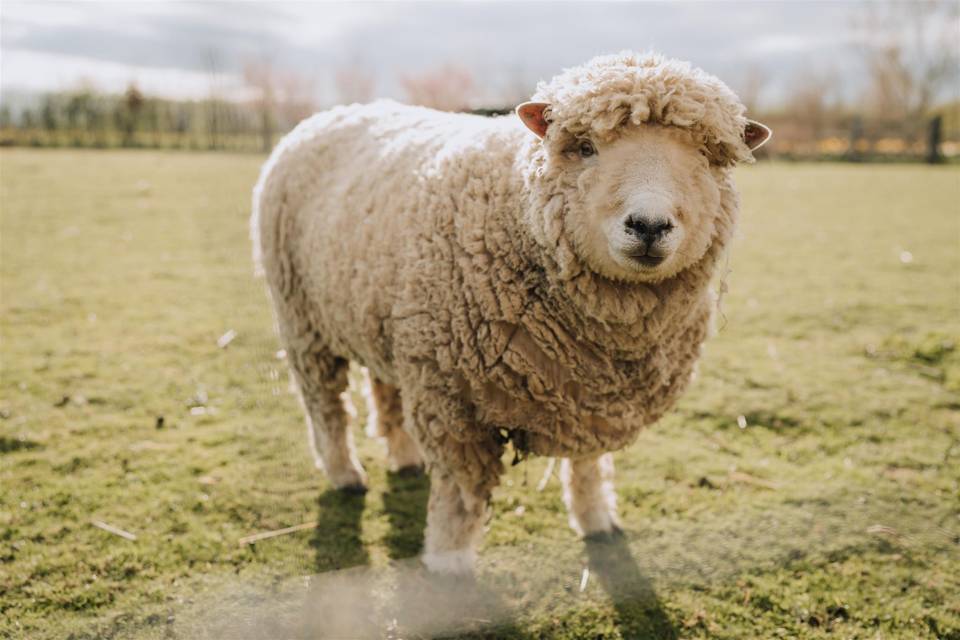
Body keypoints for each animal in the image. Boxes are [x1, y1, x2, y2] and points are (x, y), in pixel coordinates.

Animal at [251, 51, 768, 576]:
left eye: (705, 156)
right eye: (585, 148)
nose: (648, 225)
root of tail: (334, 112)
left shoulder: (592, 399)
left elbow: (588, 467)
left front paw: (597, 520)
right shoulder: (452, 402)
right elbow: (461, 496)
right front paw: (449, 563)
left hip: (385, 315)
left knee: (385, 390)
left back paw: (404, 457)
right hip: (302, 318)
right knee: (326, 406)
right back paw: (345, 473)